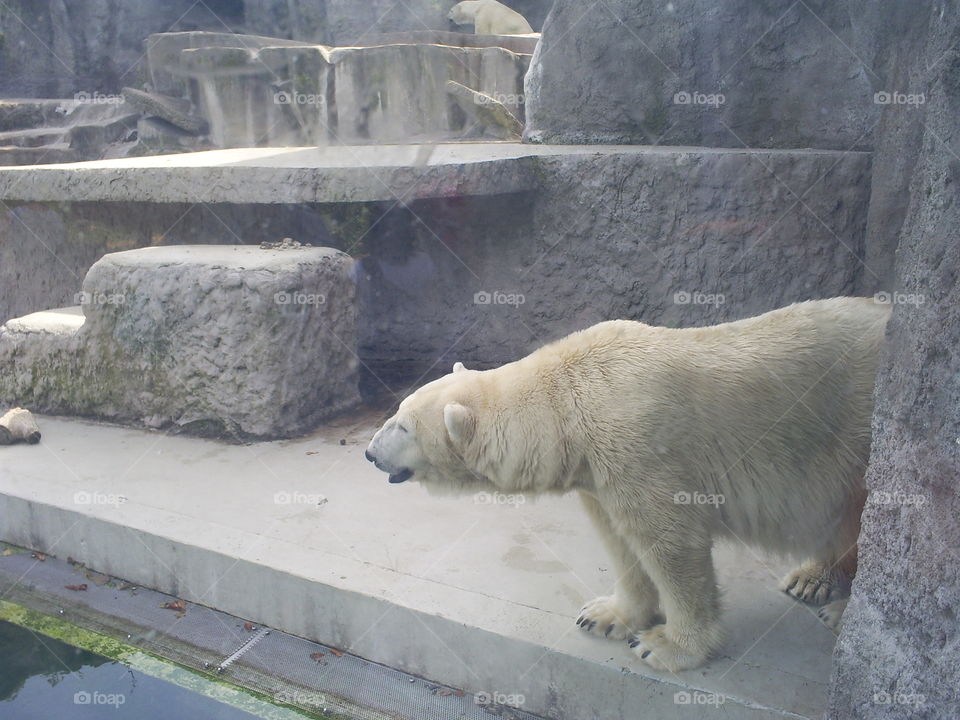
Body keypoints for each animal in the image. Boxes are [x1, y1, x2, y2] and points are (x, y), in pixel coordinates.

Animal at [365, 297, 890, 671]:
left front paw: (666, 646)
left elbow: (671, 542)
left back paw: (840, 611)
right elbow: (619, 537)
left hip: (857, 434)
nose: (369, 453)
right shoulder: (598, 470)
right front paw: (606, 615)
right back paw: (812, 579)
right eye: (396, 412)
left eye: (403, 426)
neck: (570, 399)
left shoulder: (639, 445)